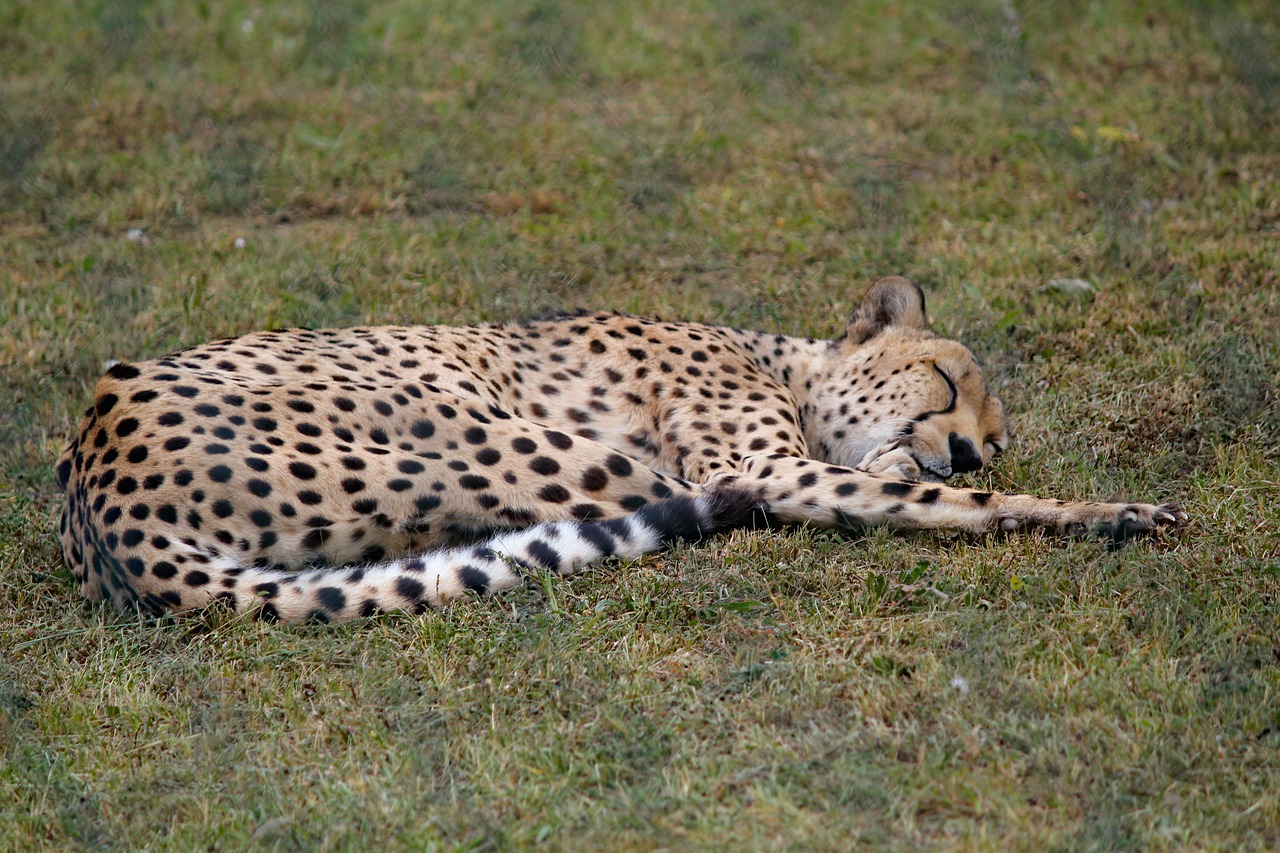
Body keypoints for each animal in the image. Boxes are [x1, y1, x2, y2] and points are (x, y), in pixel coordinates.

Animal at [55, 275, 1182, 622]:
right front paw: (1113, 511)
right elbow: (948, 508)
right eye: (947, 383)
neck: (783, 364)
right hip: (542, 446)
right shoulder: (757, 465)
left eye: (993, 439)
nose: (968, 451)